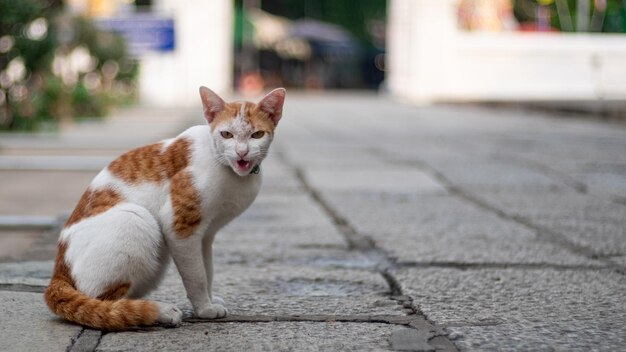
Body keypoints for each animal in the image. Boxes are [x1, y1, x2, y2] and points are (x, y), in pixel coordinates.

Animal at [43, 86, 286, 330]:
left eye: (257, 135)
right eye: (226, 134)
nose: (242, 152)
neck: (225, 167)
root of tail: (57, 272)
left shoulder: (206, 235)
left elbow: (207, 269)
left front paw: (210, 300)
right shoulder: (180, 228)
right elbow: (196, 276)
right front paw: (204, 309)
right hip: (134, 219)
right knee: (104, 305)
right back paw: (161, 311)